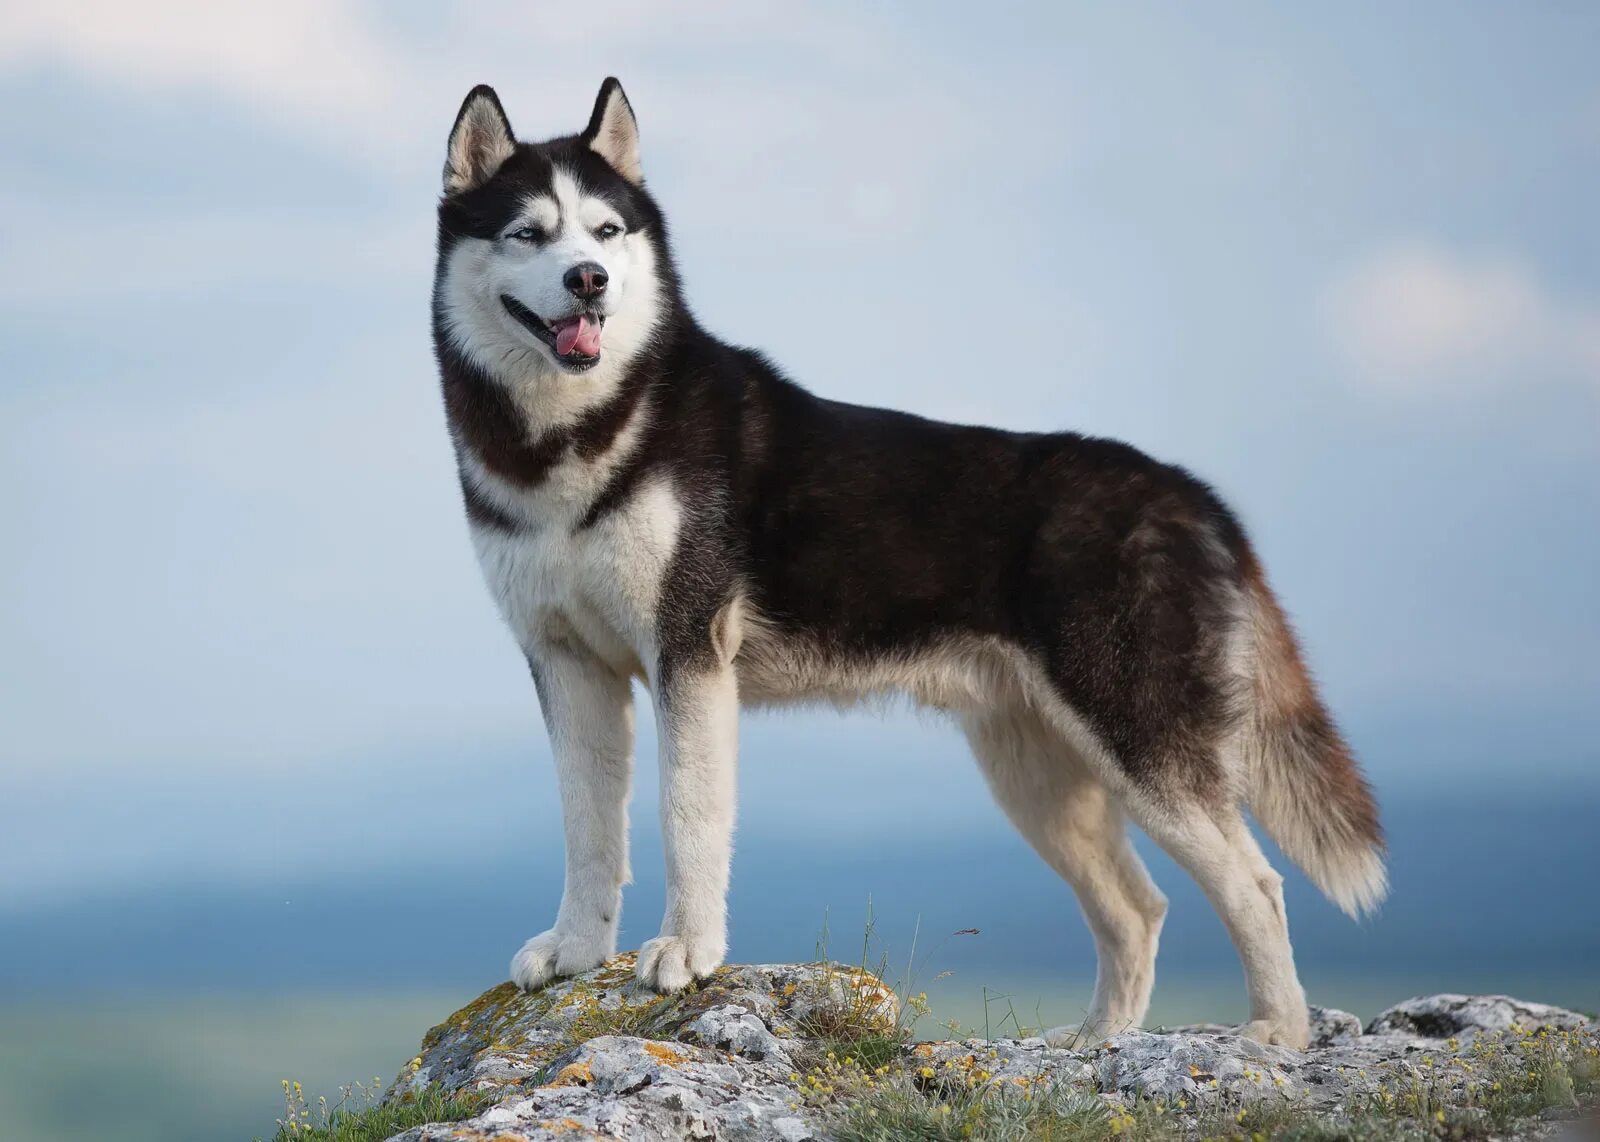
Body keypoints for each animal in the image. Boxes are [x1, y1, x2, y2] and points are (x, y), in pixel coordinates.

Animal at [432, 75, 1382, 1042]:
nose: (586, 281)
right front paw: (577, 949)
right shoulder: (567, 663)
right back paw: (1098, 1042)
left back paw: (1276, 1035)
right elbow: (587, 826)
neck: (577, 436)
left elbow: (686, 815)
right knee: (1137, 906)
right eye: (529, 233)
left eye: (606, 232)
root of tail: (1193, 491)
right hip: (1034, 768)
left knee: (1256, 884)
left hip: (1138, 736)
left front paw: (687, 951)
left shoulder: (688, 652)